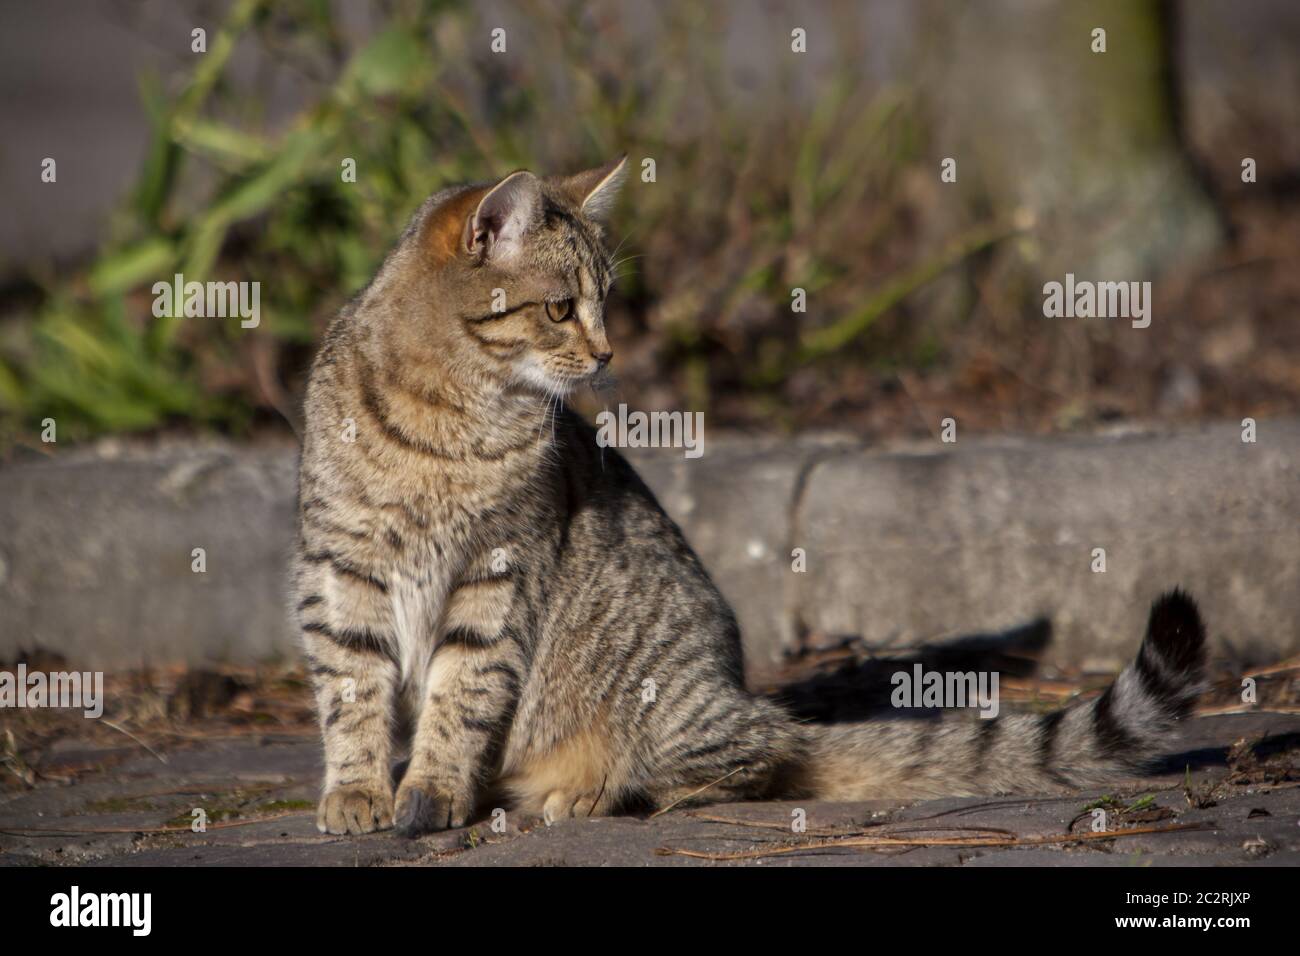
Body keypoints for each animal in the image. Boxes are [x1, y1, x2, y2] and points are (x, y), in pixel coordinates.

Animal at [295, 158, 1206, 837]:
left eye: (605, 302)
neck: (453, 412)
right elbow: (352, 689)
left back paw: (589, 789)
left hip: (672, 705)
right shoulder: (341, 567)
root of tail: (745, 695)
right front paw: (358, 793)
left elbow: (460, 694)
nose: (608, 352)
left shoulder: (497, 572)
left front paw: (431, 791)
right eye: (560, 308)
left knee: (755, 760)